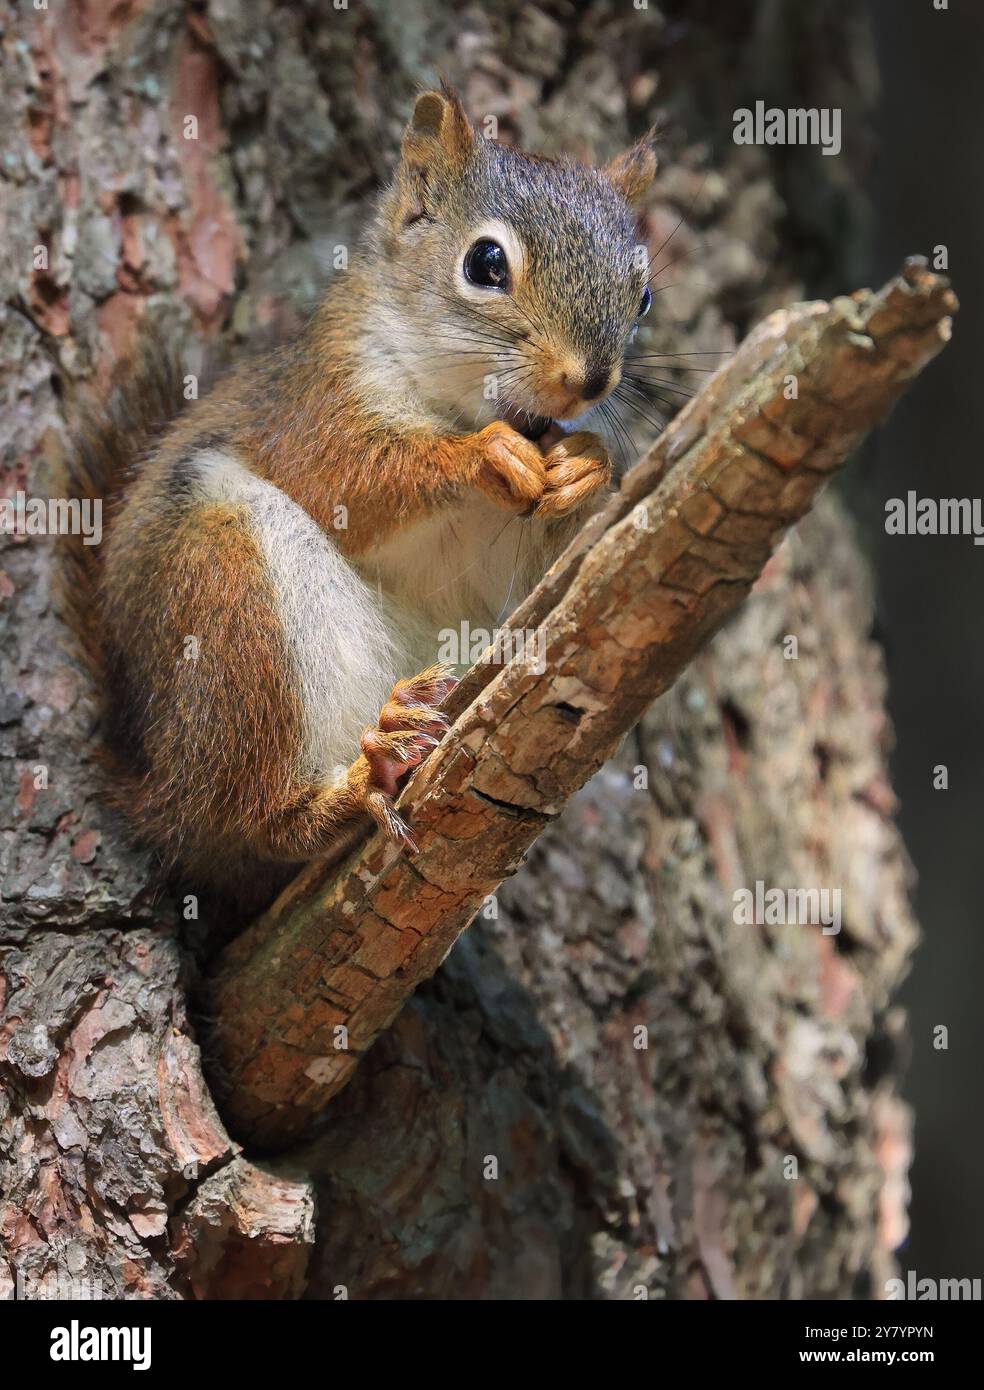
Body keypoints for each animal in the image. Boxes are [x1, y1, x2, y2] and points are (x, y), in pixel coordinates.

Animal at [63, 86, 658, 905]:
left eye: (644, 295)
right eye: (485, 263)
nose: (589, 381)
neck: (458, 399)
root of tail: (161, 788)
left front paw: (586, 467)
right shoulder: (315, 405)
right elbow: (348, 476)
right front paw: (484, 454)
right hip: (224, 600)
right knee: (246, 816)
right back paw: (341, 791)